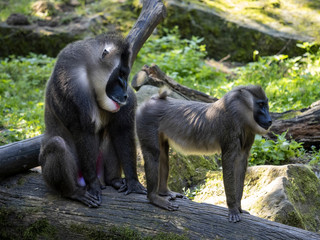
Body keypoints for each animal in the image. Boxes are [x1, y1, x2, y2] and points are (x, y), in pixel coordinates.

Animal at [39, 32, 148, 208]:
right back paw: (75, 192)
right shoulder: (72, 86)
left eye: (125, 75)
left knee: (111, 135)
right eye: (120, 74)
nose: (124, 94)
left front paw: (133, 183)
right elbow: (83, 132)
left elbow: (122, 131)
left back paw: (114, 181)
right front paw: (94, 186)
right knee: (57, 144)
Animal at [136, 85, 272, 222]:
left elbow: (240, 164)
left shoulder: (246, 139)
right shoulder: (229, 132)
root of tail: (153, 100)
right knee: (153, 154)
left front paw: (239, 208)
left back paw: (164, 192)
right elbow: (228, 162)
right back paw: (154, 197)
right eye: (260, 104)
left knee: (163, 155)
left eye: (266, 104)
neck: (240, 111)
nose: (270, 120)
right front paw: (233, 209)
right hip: (147, 124)